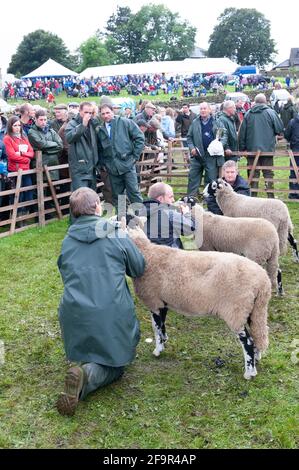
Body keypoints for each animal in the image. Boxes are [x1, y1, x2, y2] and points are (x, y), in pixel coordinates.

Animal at [128, 226, 272, 380]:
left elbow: (156, 328)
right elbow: (162, 325)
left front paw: (158, 350)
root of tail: (263, 282)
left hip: (236, 310)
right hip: (254, 309)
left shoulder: (153, 301)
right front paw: (164, 340)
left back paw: (249, 372)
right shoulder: (163, 302)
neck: (147, 254)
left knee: (248, 342)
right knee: (257, 335)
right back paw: (256, 359)